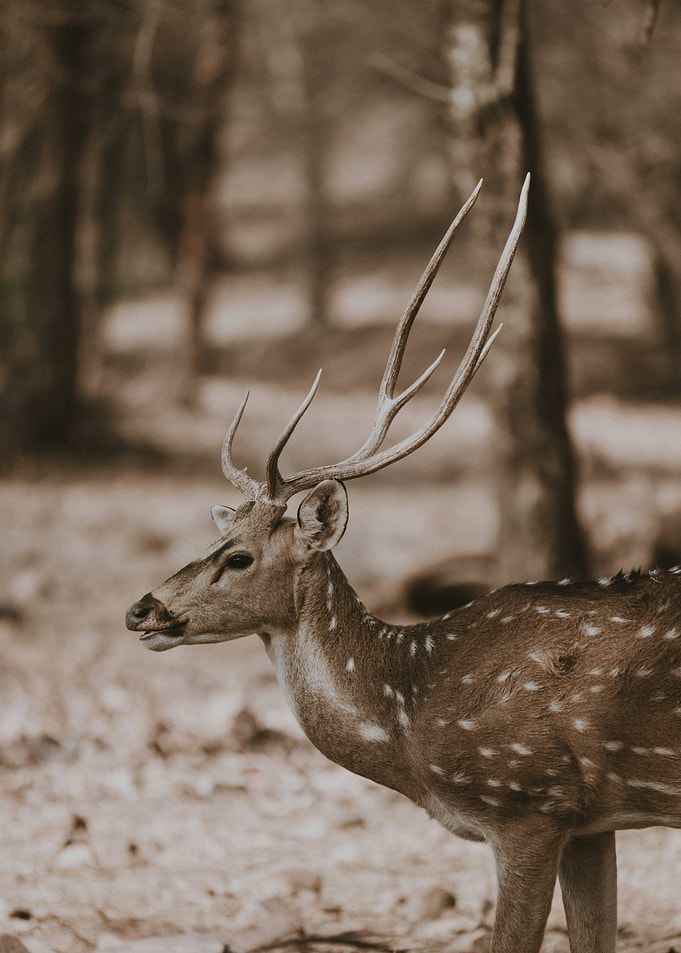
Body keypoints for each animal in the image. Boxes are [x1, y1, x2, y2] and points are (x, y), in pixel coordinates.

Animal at [126, 172, 681, 953]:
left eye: (237, 557)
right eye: (217, 534)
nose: (140, 608)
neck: (413, 718)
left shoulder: (528, 802)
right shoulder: (591, 823)